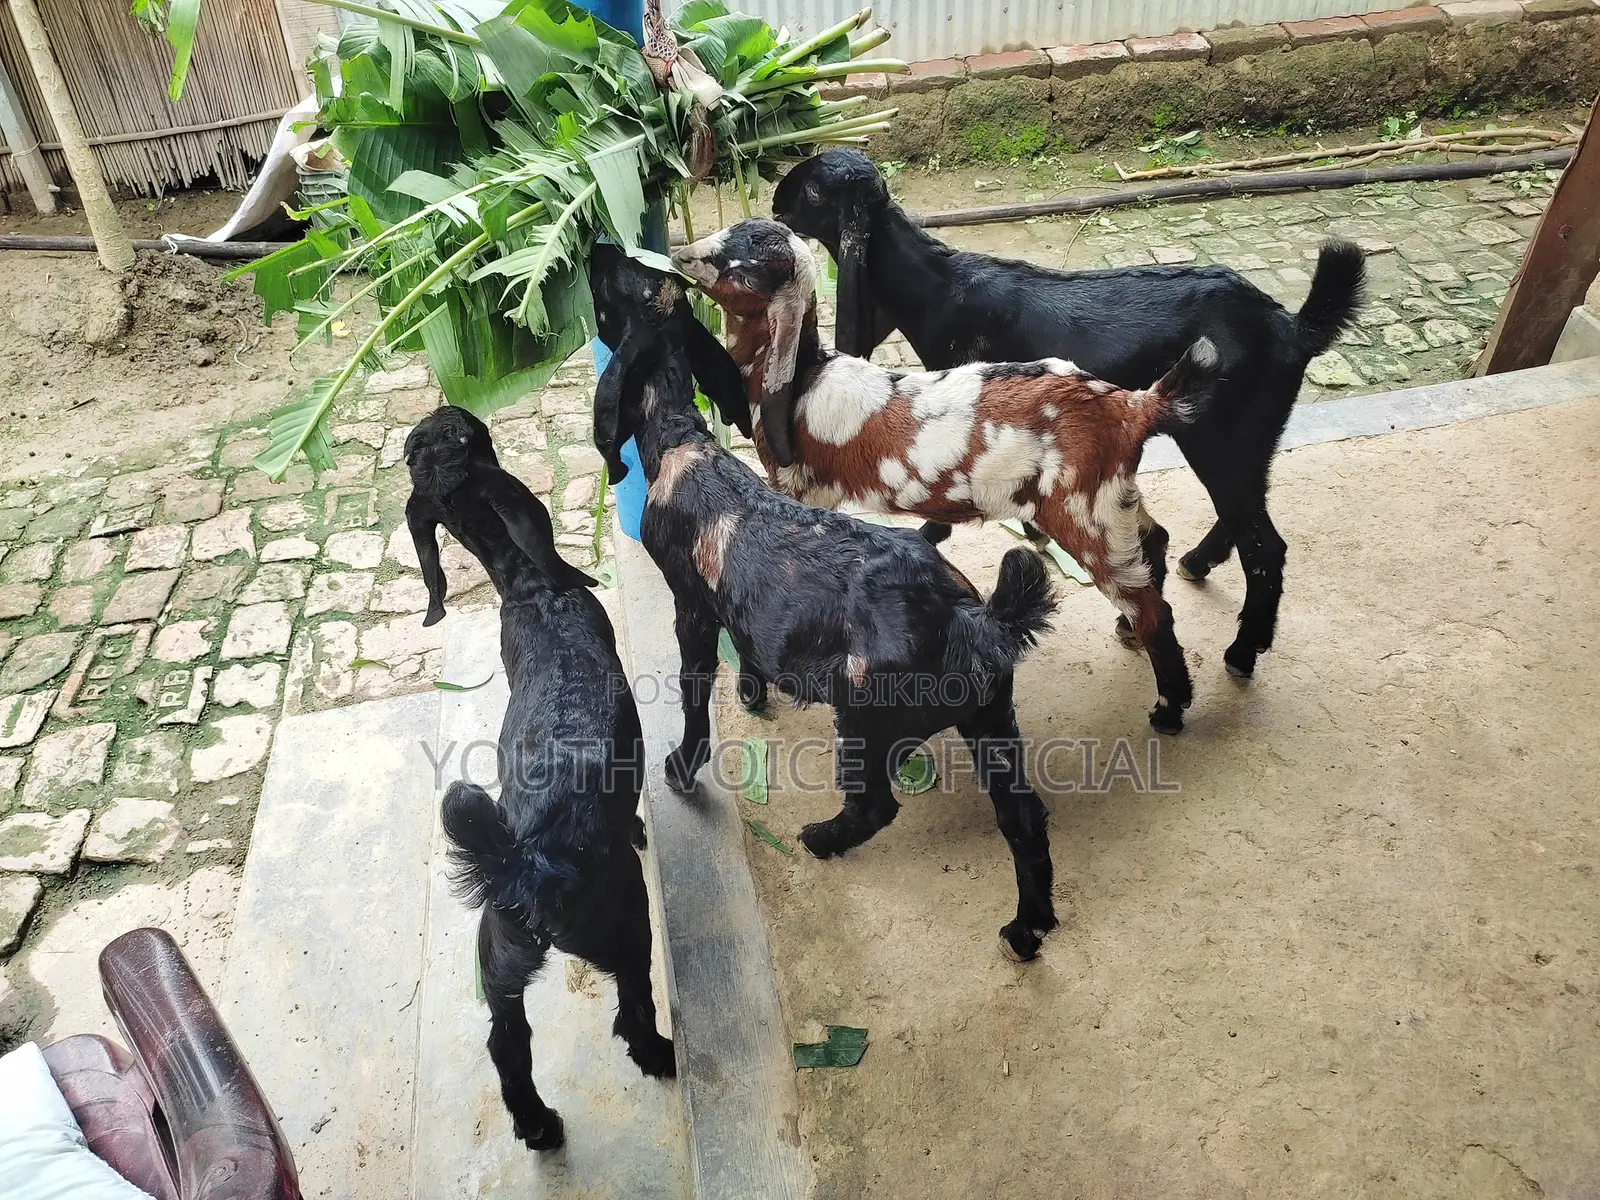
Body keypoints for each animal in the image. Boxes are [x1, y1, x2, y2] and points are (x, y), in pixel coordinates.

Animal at [405, 406, 673, 1153]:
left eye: (435, 443)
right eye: (465, 438)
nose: (456, 411)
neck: (535, 590)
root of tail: (524, 863)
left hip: (497, 967)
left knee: (509, 1045)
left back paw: (538, 1125)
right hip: (628, 928)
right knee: (632, 1013)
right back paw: (663, 1054)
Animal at [589, 244, 1064, 962]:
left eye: (620, 287)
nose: (598, 247)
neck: (681, 440)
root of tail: (972, 619)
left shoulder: (691, 607)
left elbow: (694, 691)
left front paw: (682, 766)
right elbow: (747, 652)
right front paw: (754, 693)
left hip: (867, 720)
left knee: (878, 807)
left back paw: (821, 838)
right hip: (990, 719)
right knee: (1024, 820)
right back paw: (1026, 928)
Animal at [674, 218, 1221, 734]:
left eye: (743, 264)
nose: (682, 256)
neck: (805, 376)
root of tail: (1132, 406)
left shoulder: (800, 489)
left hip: (1084, 516)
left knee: (1152, 610)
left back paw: (1169, 709)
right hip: (1113, 501)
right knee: (1154, 541)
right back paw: (1132, 636)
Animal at [773, 148, 1366, 681]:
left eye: (814, 190)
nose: (776, 200)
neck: (937, 287)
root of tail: (1290, 327)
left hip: (1225, 437)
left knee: (1265, 544)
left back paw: (1242, 651)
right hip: (1245, 437)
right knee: (1245, 514)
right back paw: (1194, 567)